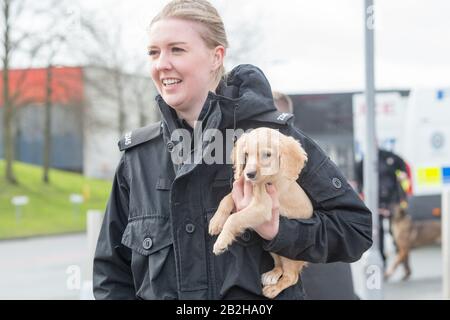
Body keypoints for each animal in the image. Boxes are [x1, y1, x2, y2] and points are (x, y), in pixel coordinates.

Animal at [207, 127, 312, 300]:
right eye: (246, 154)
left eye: (267, 155)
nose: (249, 174)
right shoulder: (240, 193)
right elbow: (226, 199)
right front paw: (216, 222)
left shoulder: (262, 208)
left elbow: (234, 218)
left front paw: (220, 243)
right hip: (272, 246)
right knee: (279, 265)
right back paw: (272, 275)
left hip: (290, 254)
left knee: (291, 276)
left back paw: (273, 290)